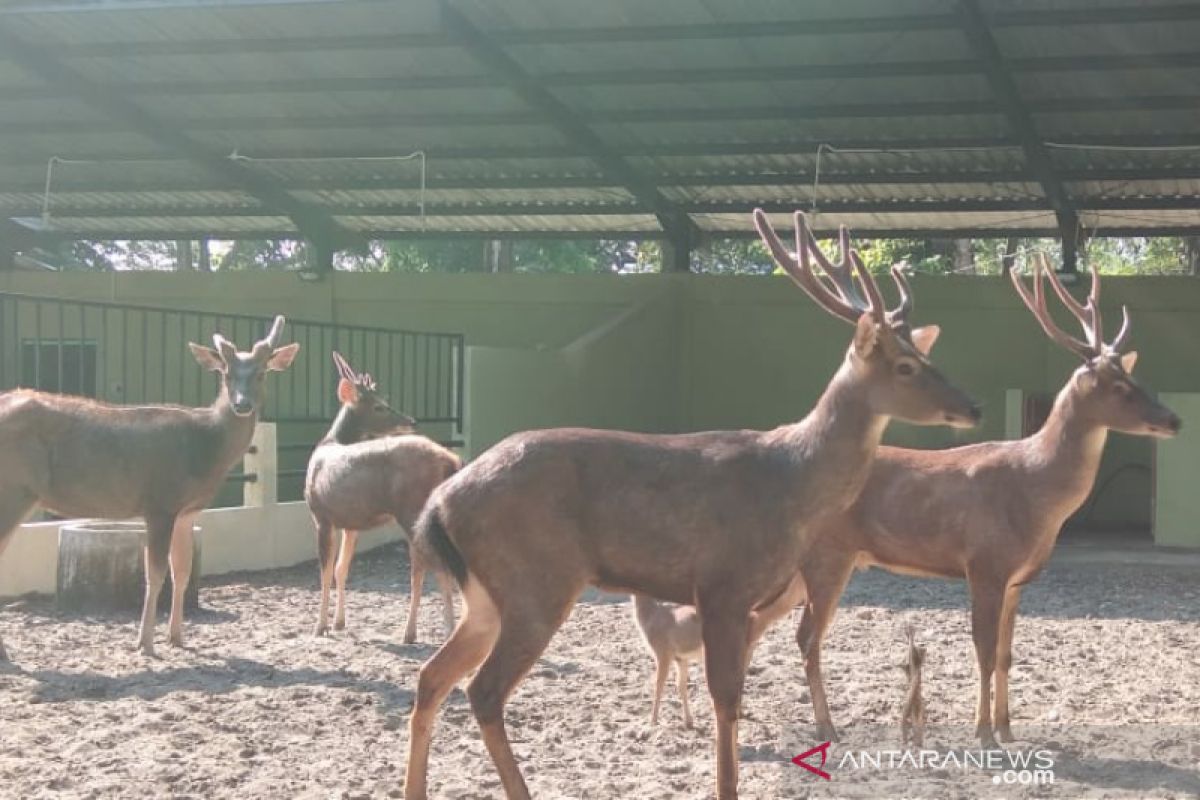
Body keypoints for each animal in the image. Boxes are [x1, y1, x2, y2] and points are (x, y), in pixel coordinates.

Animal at [0, 316, 298, 662]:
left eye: (262, 372)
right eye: (226, 373)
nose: (242, 404)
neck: (205, 448)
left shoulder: (187, 511)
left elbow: (182, 571)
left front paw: (177, 637)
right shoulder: (160, 502)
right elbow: (154, 574)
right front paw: (145, 643)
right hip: (13, 488)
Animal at [304, 352, 458, 642]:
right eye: (379, 406)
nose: (411, 421)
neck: (331, 443)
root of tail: (451, 460)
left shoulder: (321, 516)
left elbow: (324, 571)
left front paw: (320, 627)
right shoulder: (350, 523)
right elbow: (341, 568)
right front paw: (339, 622)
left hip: (412, 511)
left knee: (431, 568)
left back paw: (432, 631)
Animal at [628, 573, 806, 729]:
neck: (651, 616)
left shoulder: (663, 652)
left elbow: (659, 684)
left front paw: (652, 721)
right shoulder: (680, 658)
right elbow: (681, 685)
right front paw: (688, 722)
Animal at [796, 255, 1180, 753]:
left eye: (1137, 376)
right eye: (1118, 387)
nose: (1174, 419)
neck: (1036, 492)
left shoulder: (1017, 580)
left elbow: (1005, 654)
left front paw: (1008, 727)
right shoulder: (984, 563)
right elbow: (981, 652)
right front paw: (984, 736)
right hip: (829, 554)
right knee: (808, 638)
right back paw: (827, 729)